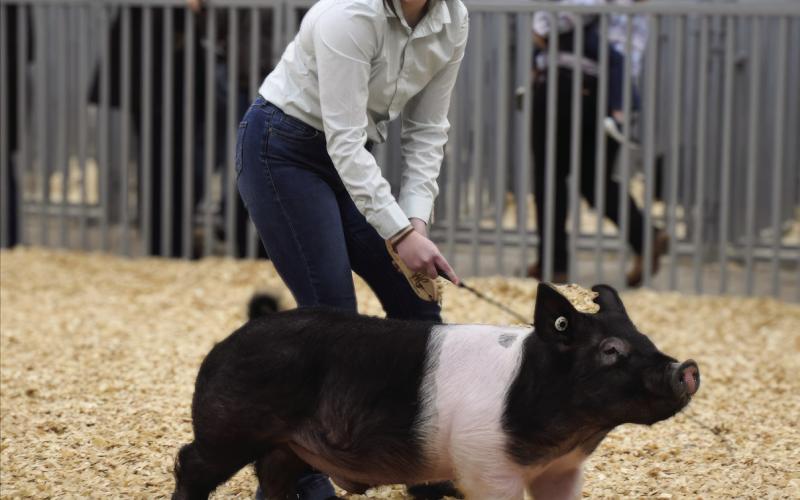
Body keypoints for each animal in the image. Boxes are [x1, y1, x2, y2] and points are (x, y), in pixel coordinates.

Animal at [172, 283, 700, 499]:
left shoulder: (561, 471)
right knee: (188, 462)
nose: (687, 368)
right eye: (611, 350)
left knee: (275, 478)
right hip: (229, 427)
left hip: (286, 448)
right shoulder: (487, 467)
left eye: (643, 338)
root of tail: (237, 334)